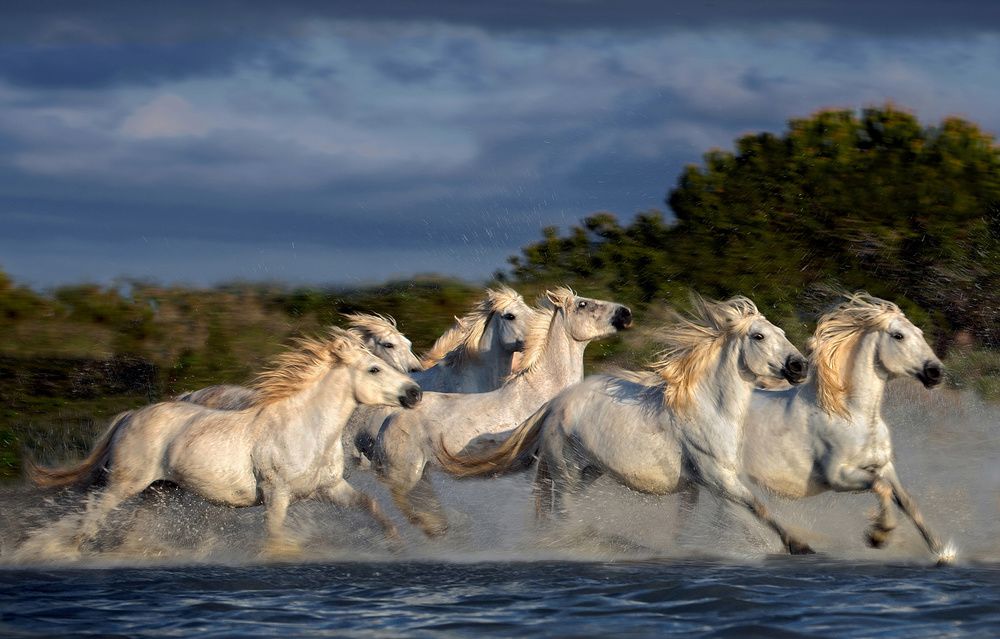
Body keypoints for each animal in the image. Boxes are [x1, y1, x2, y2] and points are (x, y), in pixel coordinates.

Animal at [28, 330, 422, 556]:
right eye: (375, 368)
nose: (415, 392)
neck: (304, 430)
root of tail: (131, 415)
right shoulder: (276, 495)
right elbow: (275, 536)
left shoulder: (328, 488)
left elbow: (372, 505)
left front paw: (400, 545)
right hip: (125, 483)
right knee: (93, 511)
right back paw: (66, 553)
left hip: (158, 490)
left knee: (130, 529)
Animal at [372, 288, 628, 536]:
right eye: (582, 304)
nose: (625, 313)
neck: (542, 391)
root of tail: (390, 419)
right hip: (405, 475)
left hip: (421, 473)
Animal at [442, 298, 816, 556]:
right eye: (759, 335)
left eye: (782, 333)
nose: (800, 366)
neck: (707, 410)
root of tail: (556, 403)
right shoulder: (716, 477)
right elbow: (758, 507)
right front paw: (799, 545)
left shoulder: (710, 482)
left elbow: (726, 517)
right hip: (566, 472)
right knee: (564, 516)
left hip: (588, 473)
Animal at [744, 294, 952, 560]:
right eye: (899, 335)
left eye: (920, 332)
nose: (936, 372)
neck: (853, 415)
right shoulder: (839, 477)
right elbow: (881, 487)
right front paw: (878, 536)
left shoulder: (883, 466)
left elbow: (906, 501)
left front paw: (942, 551)